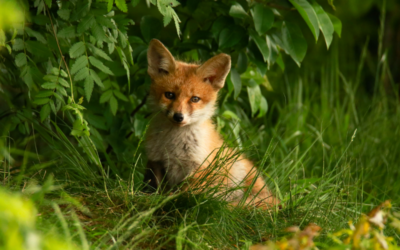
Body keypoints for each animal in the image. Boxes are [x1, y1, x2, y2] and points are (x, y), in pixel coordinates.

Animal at [143, 39, 278, 210]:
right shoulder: (156, 162)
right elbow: (157, 189)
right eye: (169, 95)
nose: (178, 117)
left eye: (195, 99)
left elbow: (182, 194)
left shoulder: (199, 168)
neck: (173, 146)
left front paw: (169, 201)